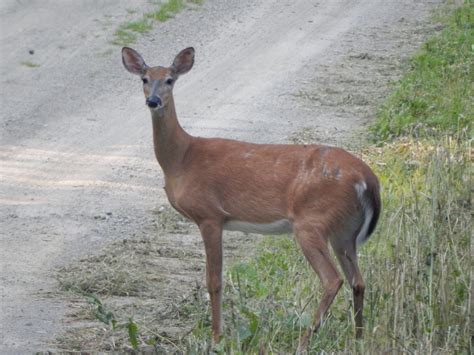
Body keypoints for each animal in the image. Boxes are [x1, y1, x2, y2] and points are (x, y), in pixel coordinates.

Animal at [121, 46, 382, 352]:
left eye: (170, 80)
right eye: (145, 79)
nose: (153, 101)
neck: (181, 159)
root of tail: (369, 179)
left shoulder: (210, 215)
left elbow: (214, 281)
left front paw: (216, 339)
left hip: (312, 222)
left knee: (333, 279)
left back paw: (304, 341)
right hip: (344, 232)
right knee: (358, 281)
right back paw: (358, 339)